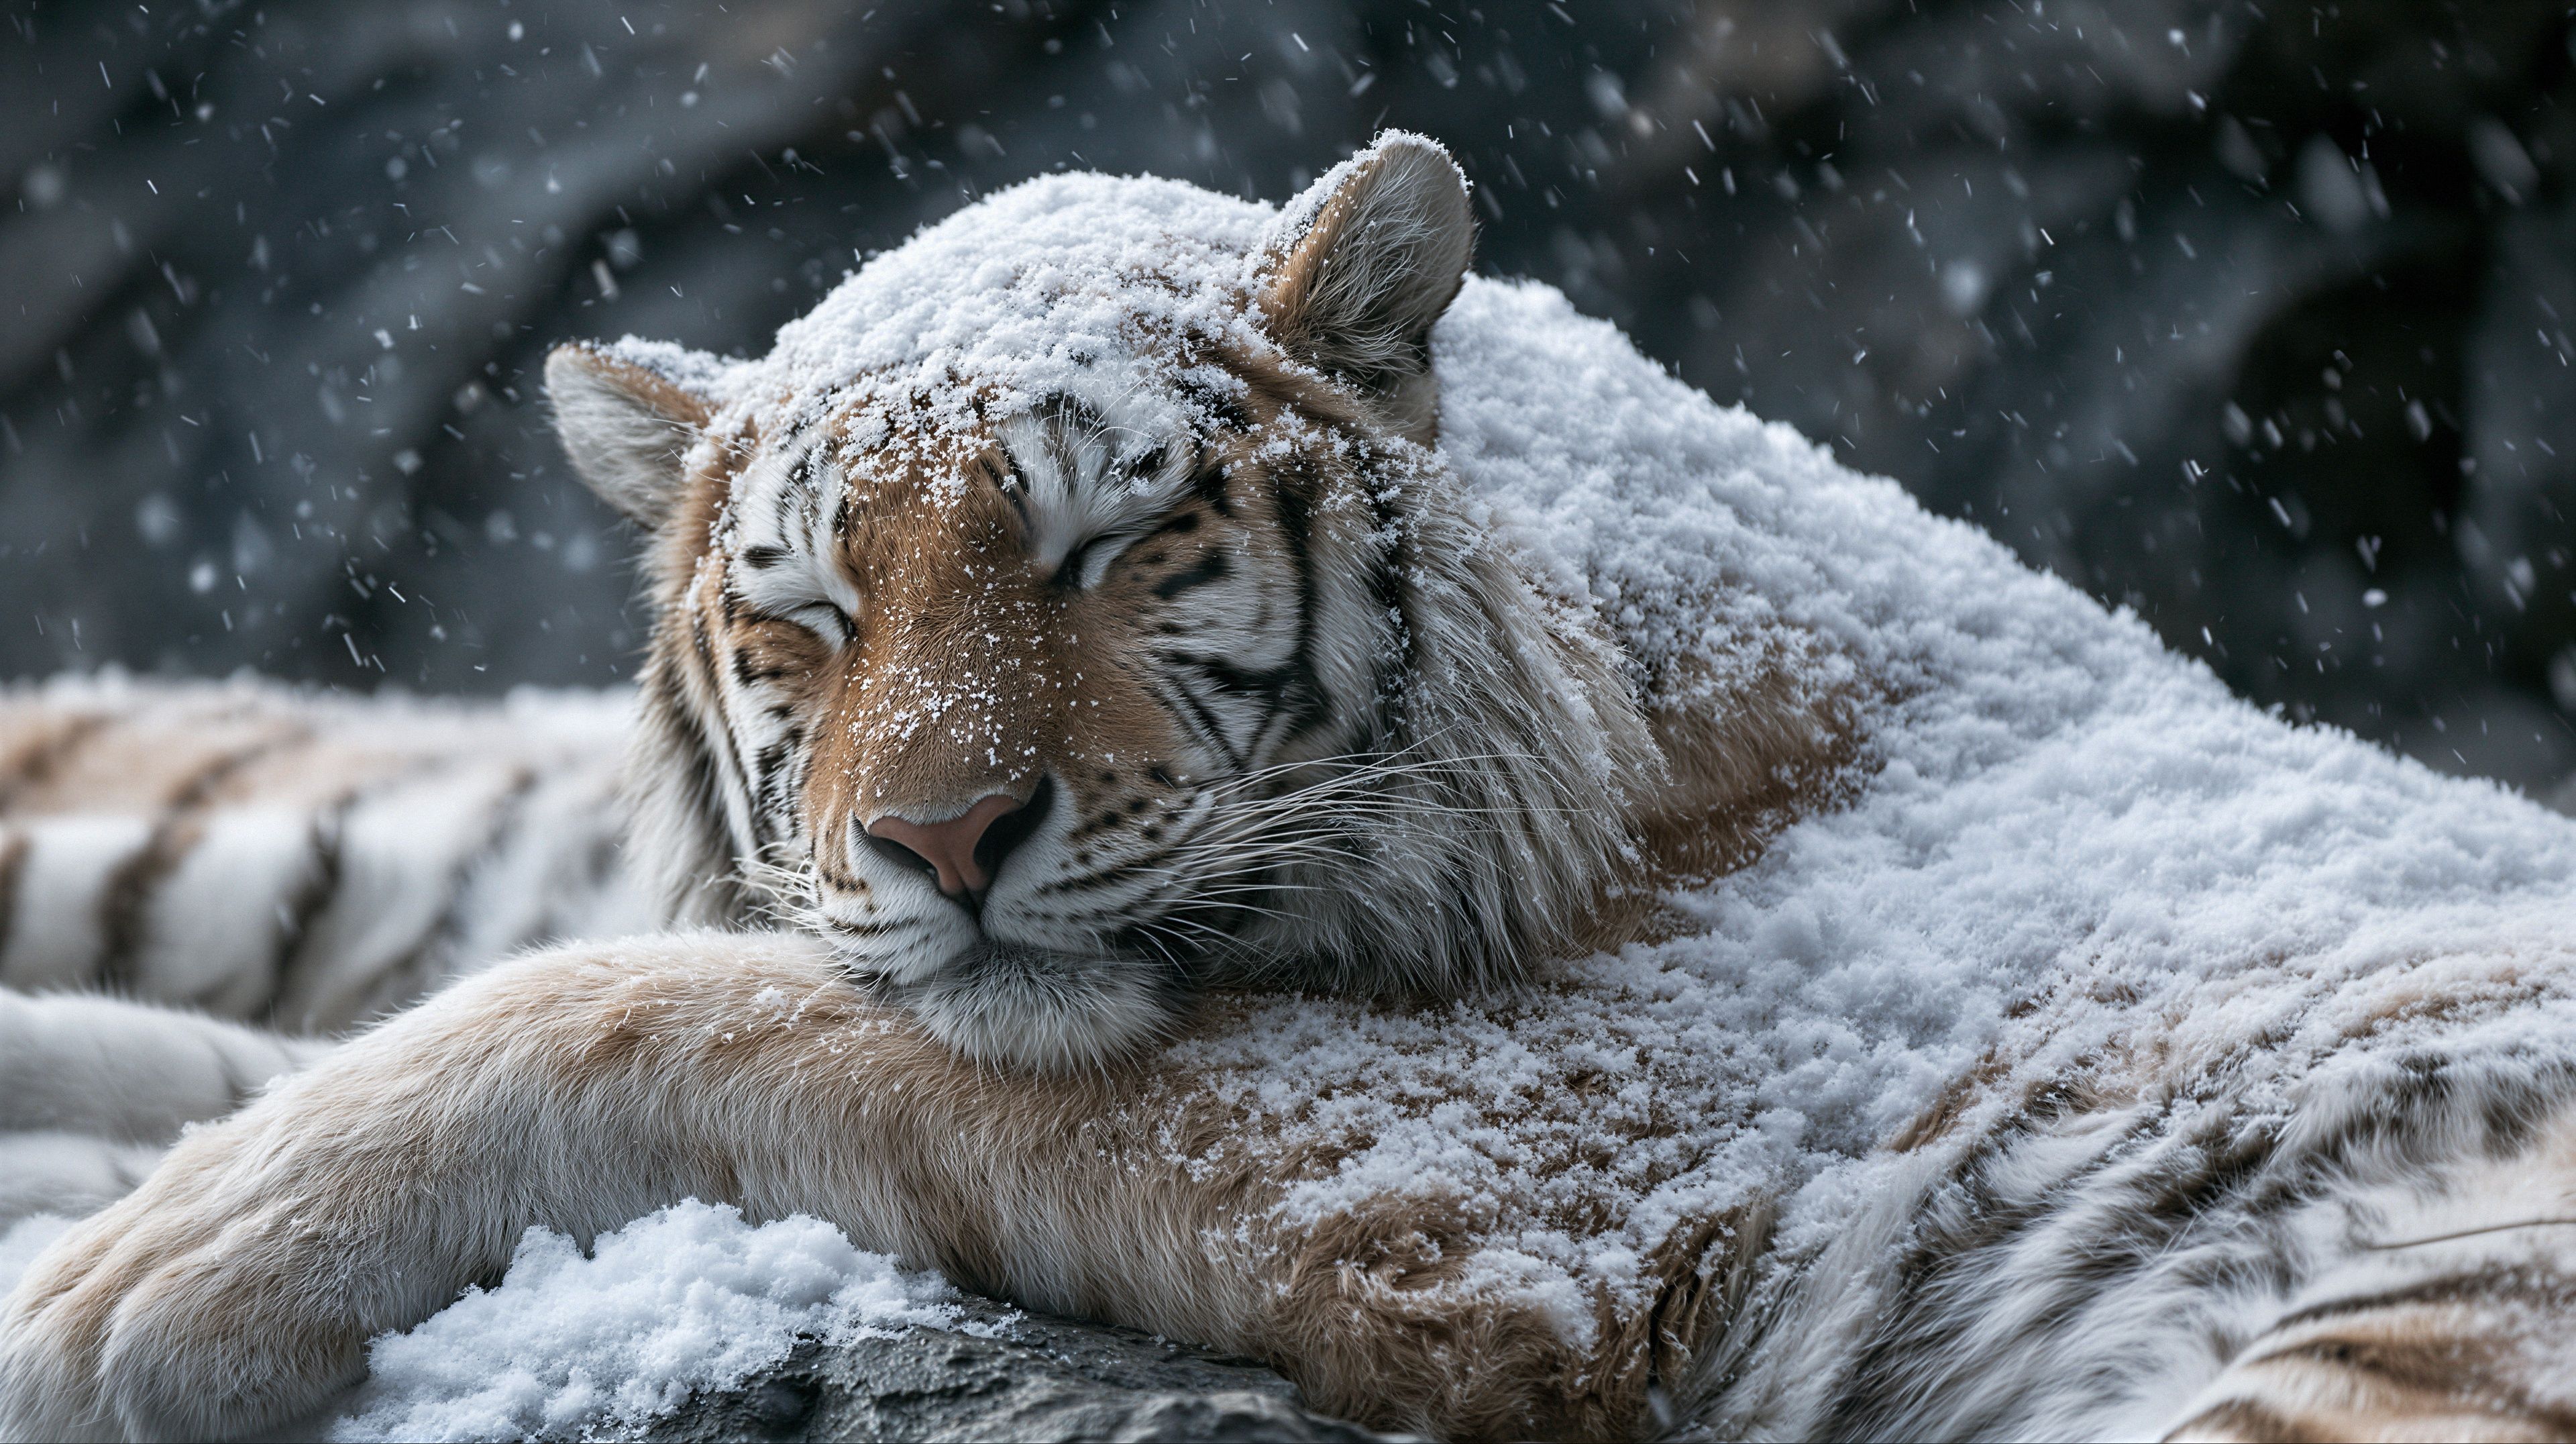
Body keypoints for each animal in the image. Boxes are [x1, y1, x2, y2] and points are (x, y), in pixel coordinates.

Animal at [7, 133, 2576, 1443]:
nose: (941, 842)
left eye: (1106, 544)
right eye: (808, 620)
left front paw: (125, 1293)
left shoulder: (1524, 1168)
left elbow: (624, 1009)